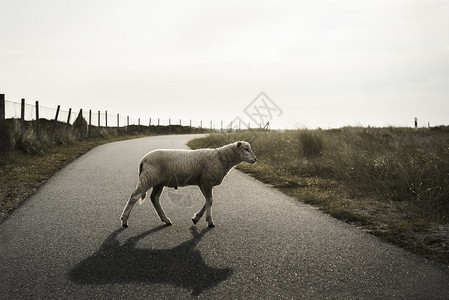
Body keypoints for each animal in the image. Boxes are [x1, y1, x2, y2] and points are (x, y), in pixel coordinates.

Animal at [120, 141, 256, 227]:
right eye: (246, 149)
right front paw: (209, 221)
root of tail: (143, 160)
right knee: (134, 196)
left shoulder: (203, 182)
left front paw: (196, 218)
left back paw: (166, 219)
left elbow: (208, 200)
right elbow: (210, 201)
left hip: (159, 182)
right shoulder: (207, 181)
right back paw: (124, 220)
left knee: (154, 198)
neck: (221, 158)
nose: (255, 160)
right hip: (148, 178)